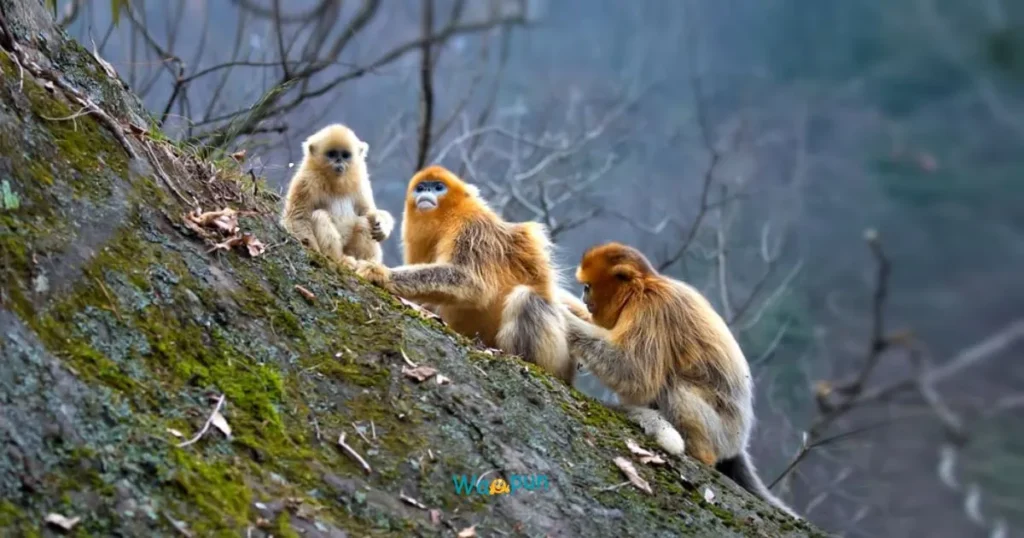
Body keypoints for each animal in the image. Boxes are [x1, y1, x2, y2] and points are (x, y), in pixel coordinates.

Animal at [280, 124, 394, 268]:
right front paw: (315, 253)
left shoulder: (361, 182)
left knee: (364, 222)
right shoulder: (305, 181)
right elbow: (297, 217)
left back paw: (366, 263)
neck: (336, 182)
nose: (339, 161)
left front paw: (383, 227)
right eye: (332, 154)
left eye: (345, 155)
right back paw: (339, 260)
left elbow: (368, 211)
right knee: (320, 216)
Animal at [355, 165, 576, 384]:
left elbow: (472, 282)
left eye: (438, 187)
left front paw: (381, 273)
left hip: (557, 357)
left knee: (528, 299)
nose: (426, 191)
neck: (448, 216)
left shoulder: (472, 227)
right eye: (421, 188)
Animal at [562, 242, 799, 519]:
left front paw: (565, 319)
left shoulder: (653, 308)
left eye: (588, 286)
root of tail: (737, 443)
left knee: (676, 388)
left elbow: (634, 373)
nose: (584, 298)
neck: (645, 286)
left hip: (720, 433)